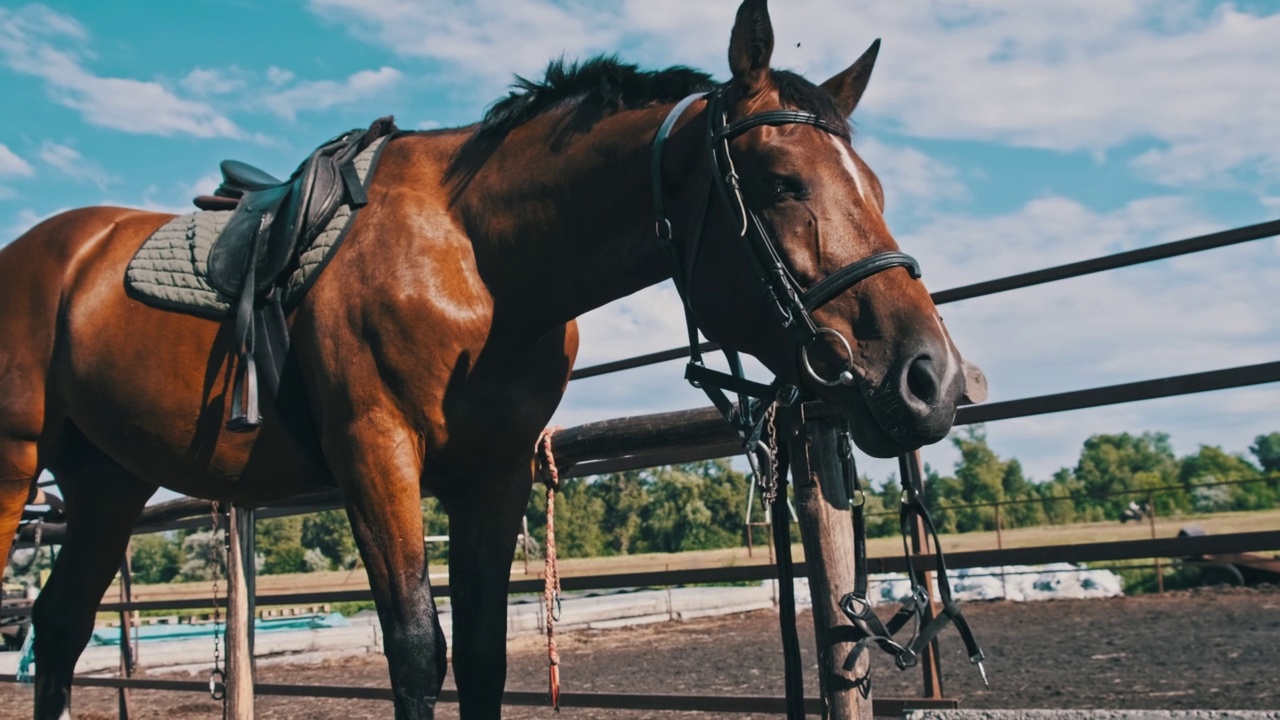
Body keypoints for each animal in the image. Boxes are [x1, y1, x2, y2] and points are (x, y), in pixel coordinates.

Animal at [0, 2, 962, 712]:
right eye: (780, 183)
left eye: (876, 187)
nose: (932, 379)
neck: (480, 259)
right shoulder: (377, 455)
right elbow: (418, 652)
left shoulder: (491, 474)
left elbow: (485, 655)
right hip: (17, 468)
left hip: (107, 487)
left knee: (60, 628)